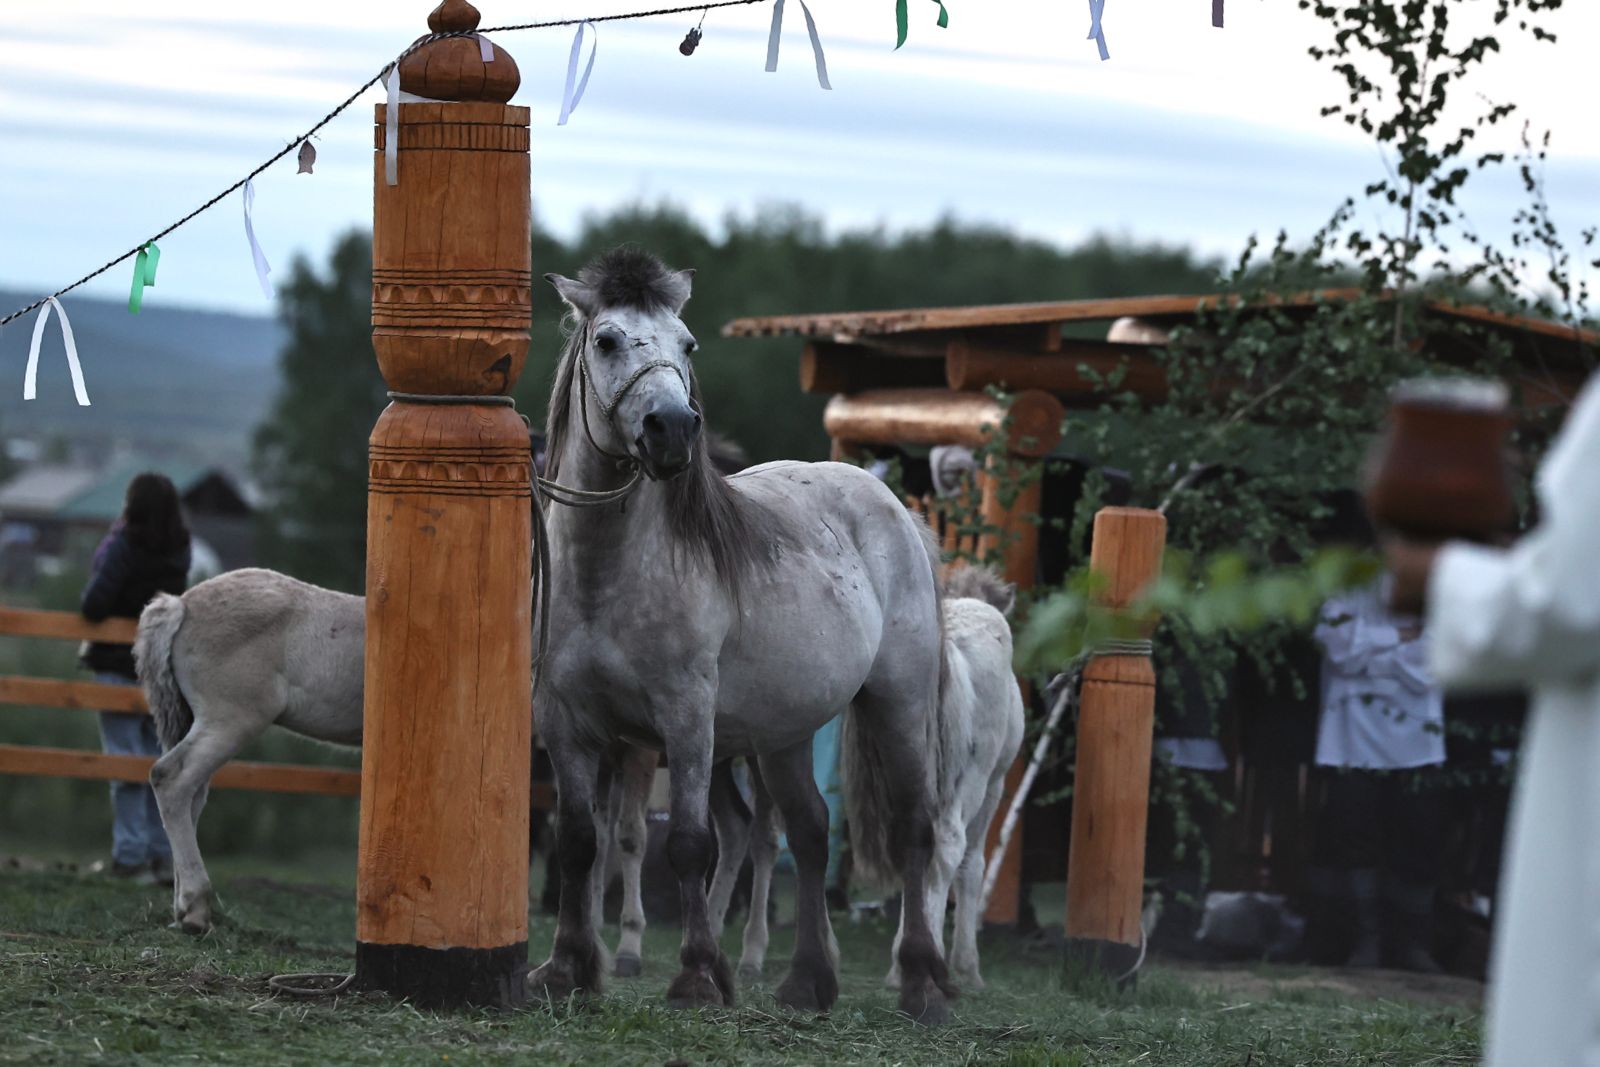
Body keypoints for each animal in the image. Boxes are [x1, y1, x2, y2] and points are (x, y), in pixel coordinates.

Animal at [531, 247, 953, 1023]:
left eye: (688, 344)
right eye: (606, 340)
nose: (671, 428)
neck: (608, 573)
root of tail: (895, 508)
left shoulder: (686, 718)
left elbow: (690, 844)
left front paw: (699, 976)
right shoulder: (565, 722)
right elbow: (577, 840)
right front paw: (568, 967)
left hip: (899, 703)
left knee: (915, 825)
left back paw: (921, 981)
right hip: (783, 732)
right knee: (810, 832)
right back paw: (807, 980)